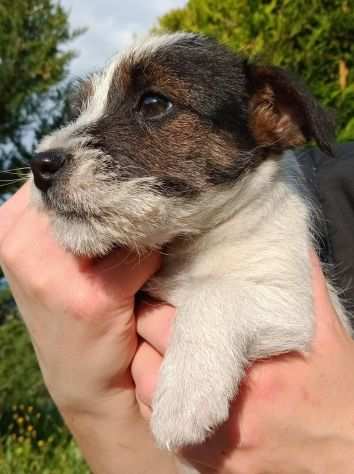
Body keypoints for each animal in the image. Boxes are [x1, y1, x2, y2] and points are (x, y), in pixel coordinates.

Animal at [29, 34, 352, 462]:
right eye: (80, 110)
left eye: (153, 103)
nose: (39, 165)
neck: (191, 244)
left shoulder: (291, 298)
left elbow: (214, 293)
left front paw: (183, 400)